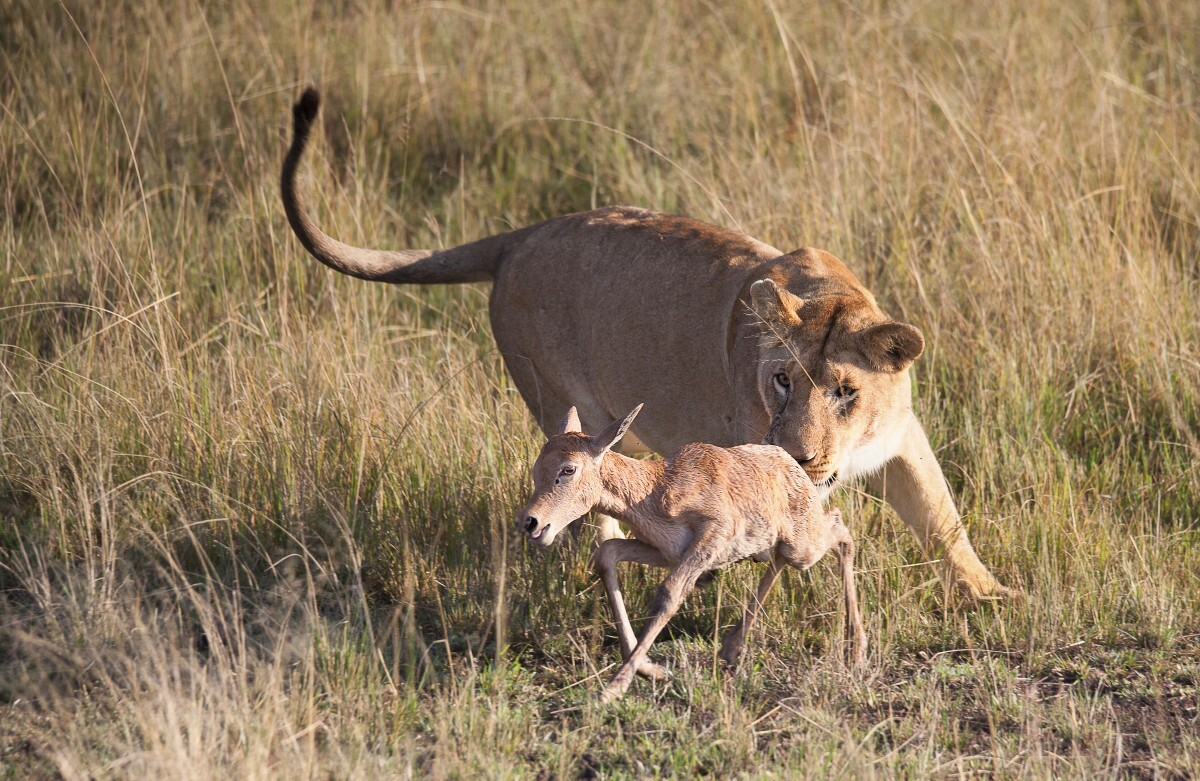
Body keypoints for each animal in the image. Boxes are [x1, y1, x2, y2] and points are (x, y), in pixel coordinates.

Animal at [517, 403, 868, 703]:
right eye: (537, 466)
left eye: (568, 469)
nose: (530, 521)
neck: (656, 489)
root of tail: (791, 465)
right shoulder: (666, 551)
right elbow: (606, 554)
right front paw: (652, 671)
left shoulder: (712, 535)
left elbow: (669, 593)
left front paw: (612, 690)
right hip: (777, 546)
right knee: (783, 559)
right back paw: (731, 648)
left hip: (803, 546)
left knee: (841, 530)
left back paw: (856, 649)